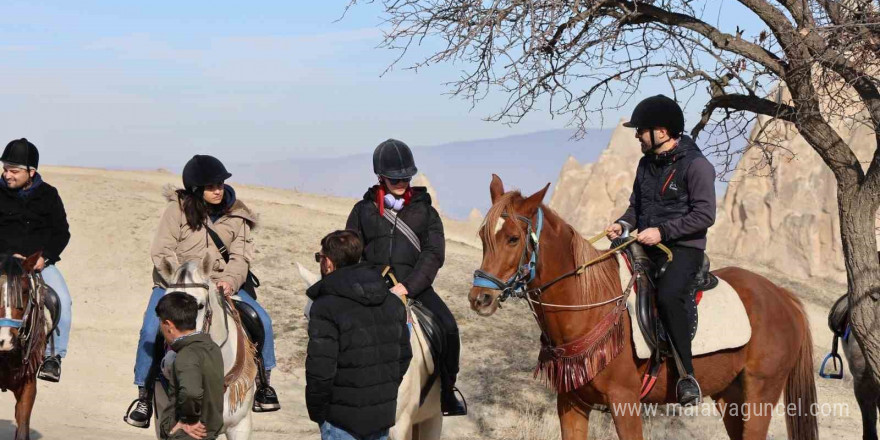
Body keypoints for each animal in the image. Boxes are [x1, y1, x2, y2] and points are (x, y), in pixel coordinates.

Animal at [470, 175, 820, 440]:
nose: (480, 298)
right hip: (730, 398)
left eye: (513, 239)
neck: (589, 306)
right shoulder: (571, 403)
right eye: (484, 236)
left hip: (760, 395)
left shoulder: (624, 402)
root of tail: (783, 297)